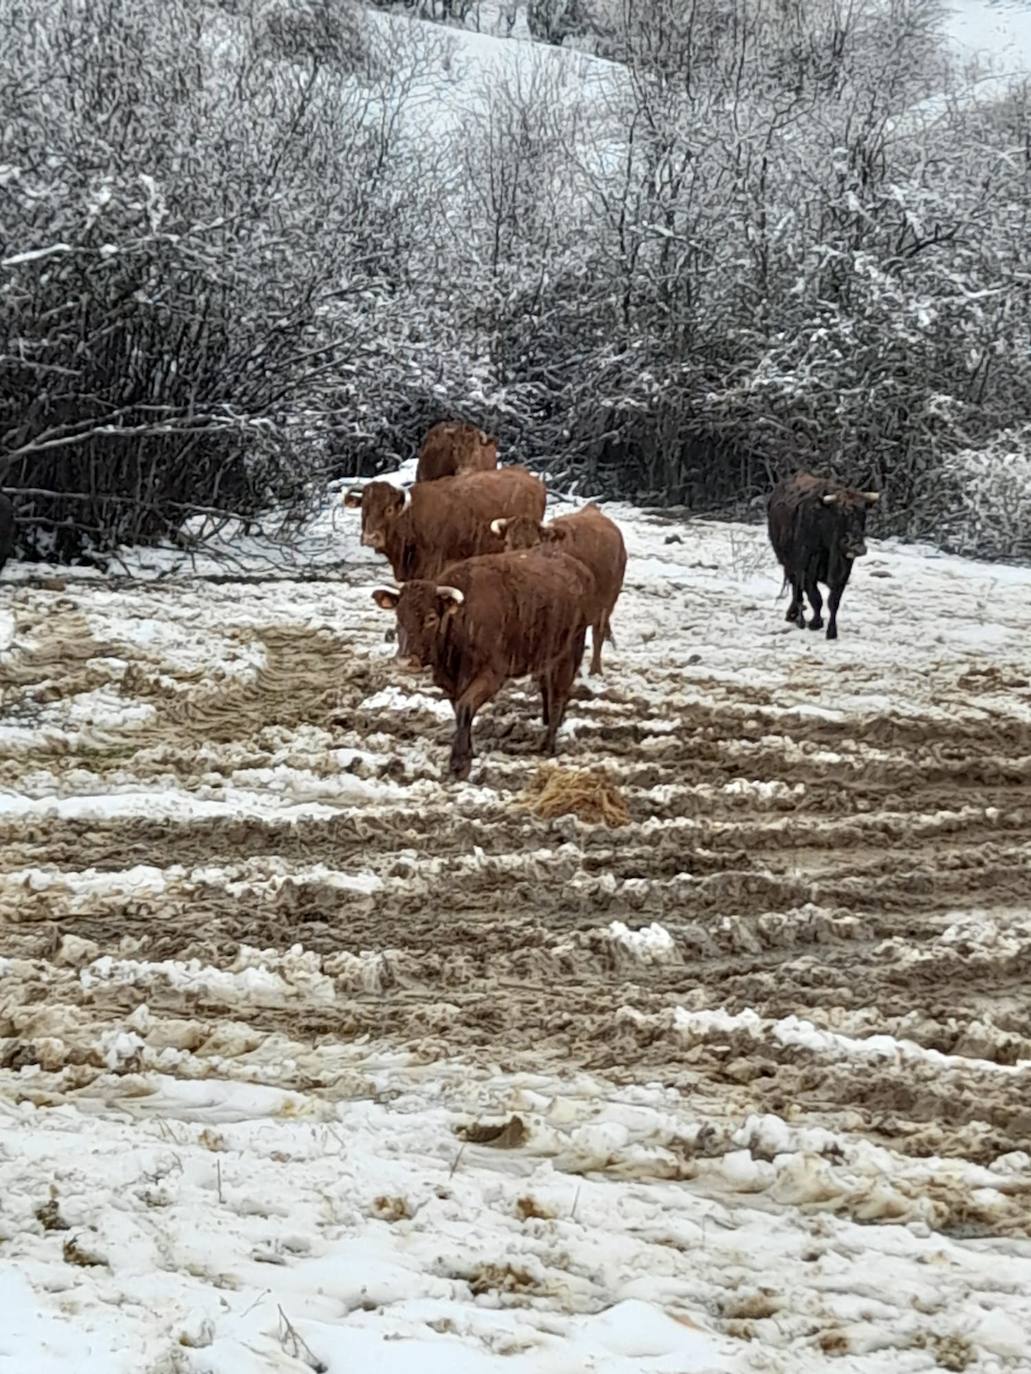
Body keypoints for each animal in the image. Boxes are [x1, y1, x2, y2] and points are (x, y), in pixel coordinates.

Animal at [373, 549, 596, 785]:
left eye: (431, 618)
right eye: (398, 616)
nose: (406, 660)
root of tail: (579, 567)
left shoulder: (491, 675)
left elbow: (465, 707)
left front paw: (459, 763)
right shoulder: (451, 681)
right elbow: (459, 709)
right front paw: (469, 752)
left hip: (570, 651)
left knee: (559, 695)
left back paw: (548, 744)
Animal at [769, 472, 879, 643]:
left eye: (864, 514)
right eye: (841, 513)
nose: (856, 546)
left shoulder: (843, 572)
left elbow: (833, 602)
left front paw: (832, 631)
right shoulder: (806, 568)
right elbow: (816, 598)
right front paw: (815, 622)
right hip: (787, 562)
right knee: (796, 588)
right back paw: (795, 615)